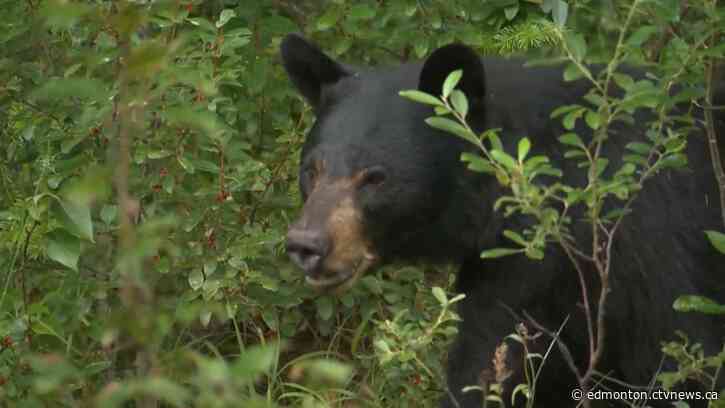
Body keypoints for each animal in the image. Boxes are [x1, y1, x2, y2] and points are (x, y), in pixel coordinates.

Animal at [279, 33, 725, 407]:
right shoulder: (510, 269)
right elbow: (493, 358)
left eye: (374, 177)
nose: (305, 244)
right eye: (311, 170)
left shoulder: (654, 254)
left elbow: (680, 357)